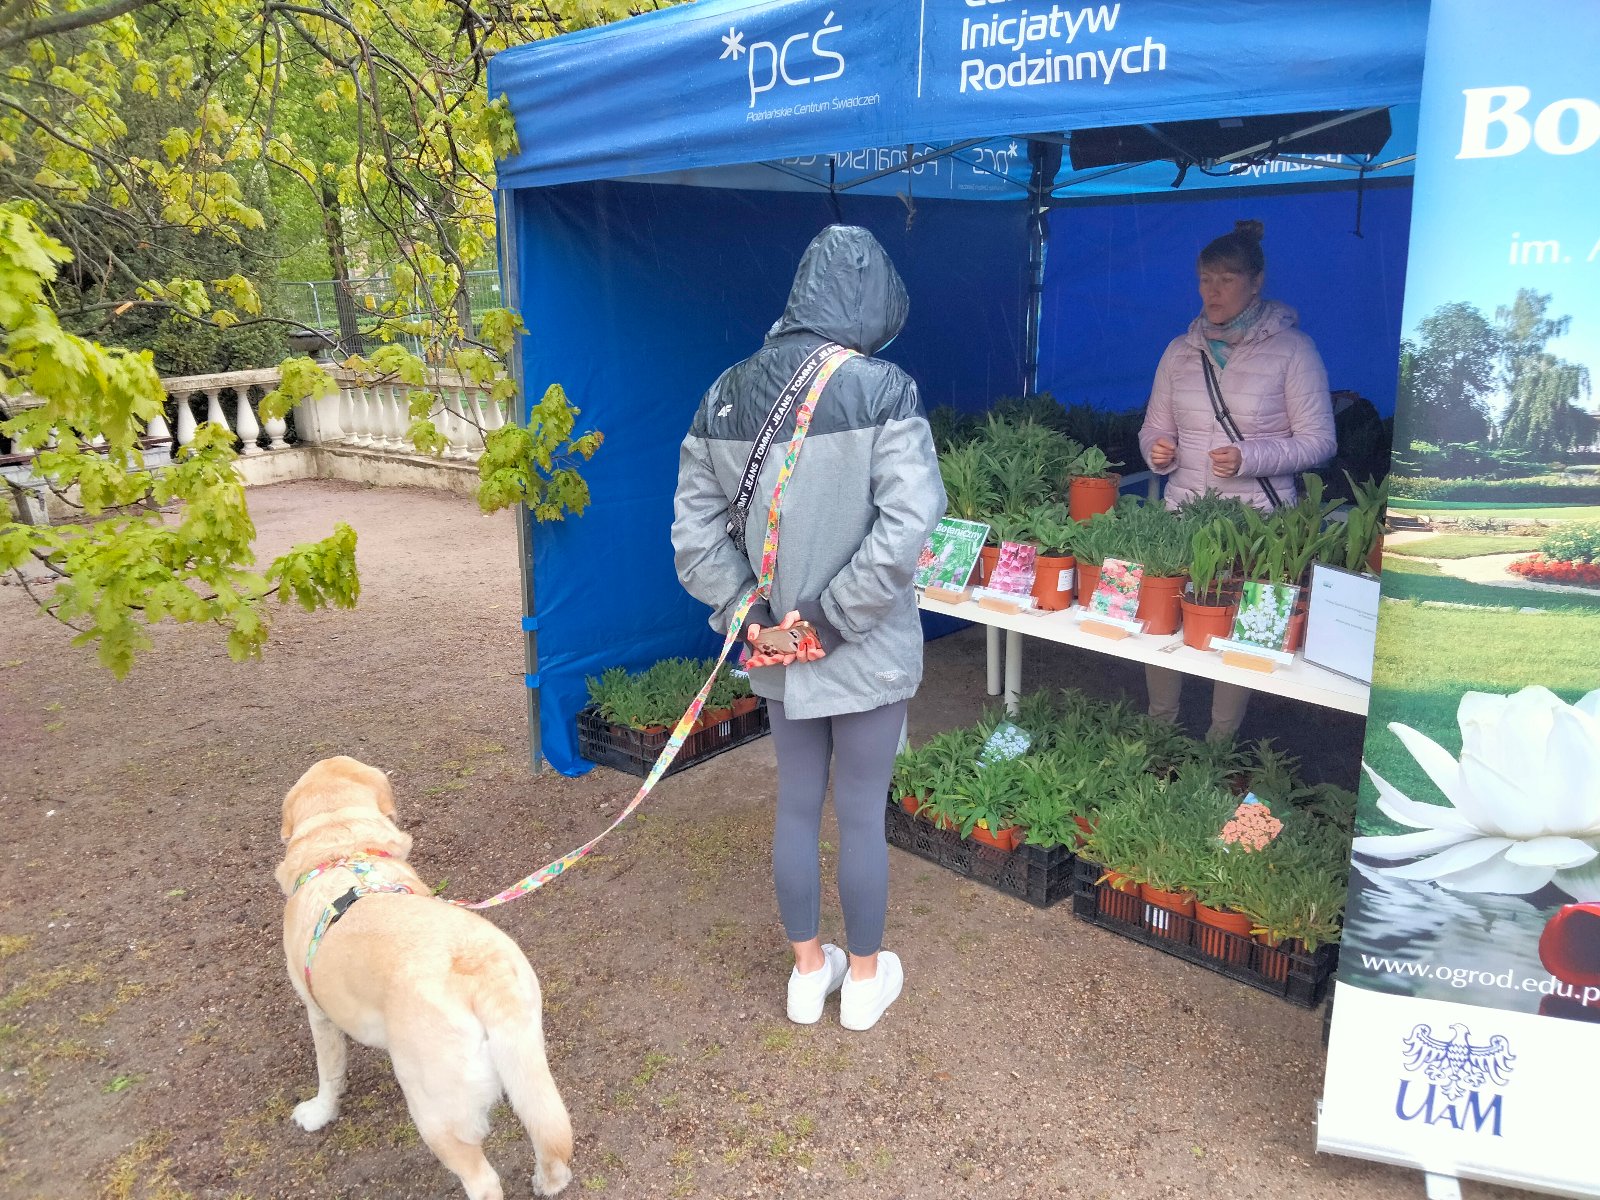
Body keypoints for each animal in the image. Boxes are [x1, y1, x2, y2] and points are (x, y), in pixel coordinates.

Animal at [276, 755, 576, 1196]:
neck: (342, 846)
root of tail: (478, 973)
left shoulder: (319, 1014)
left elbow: (328, 1076)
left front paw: (317, 1114)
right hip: (527, 1058)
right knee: (550, 1136)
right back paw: (547, 1181)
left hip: (435, 1109)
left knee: (483, 1180)